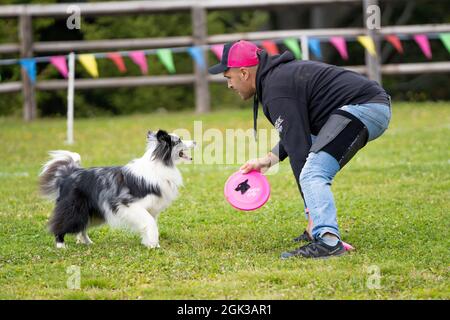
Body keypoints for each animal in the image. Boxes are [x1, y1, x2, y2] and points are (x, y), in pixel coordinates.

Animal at [41, 129, 196, 248]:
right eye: (179, 140)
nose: (195, 141)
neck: (160, 164)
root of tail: (68, 174)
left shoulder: (151, 209)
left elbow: (150, 225)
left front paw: (150, 243)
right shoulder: (129, 205)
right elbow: (150, 224)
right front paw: (153, 245)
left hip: (93, 212)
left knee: (82, 227)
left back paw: (87, 242)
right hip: (74, 208)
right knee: (61, 224)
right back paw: (61, 245)